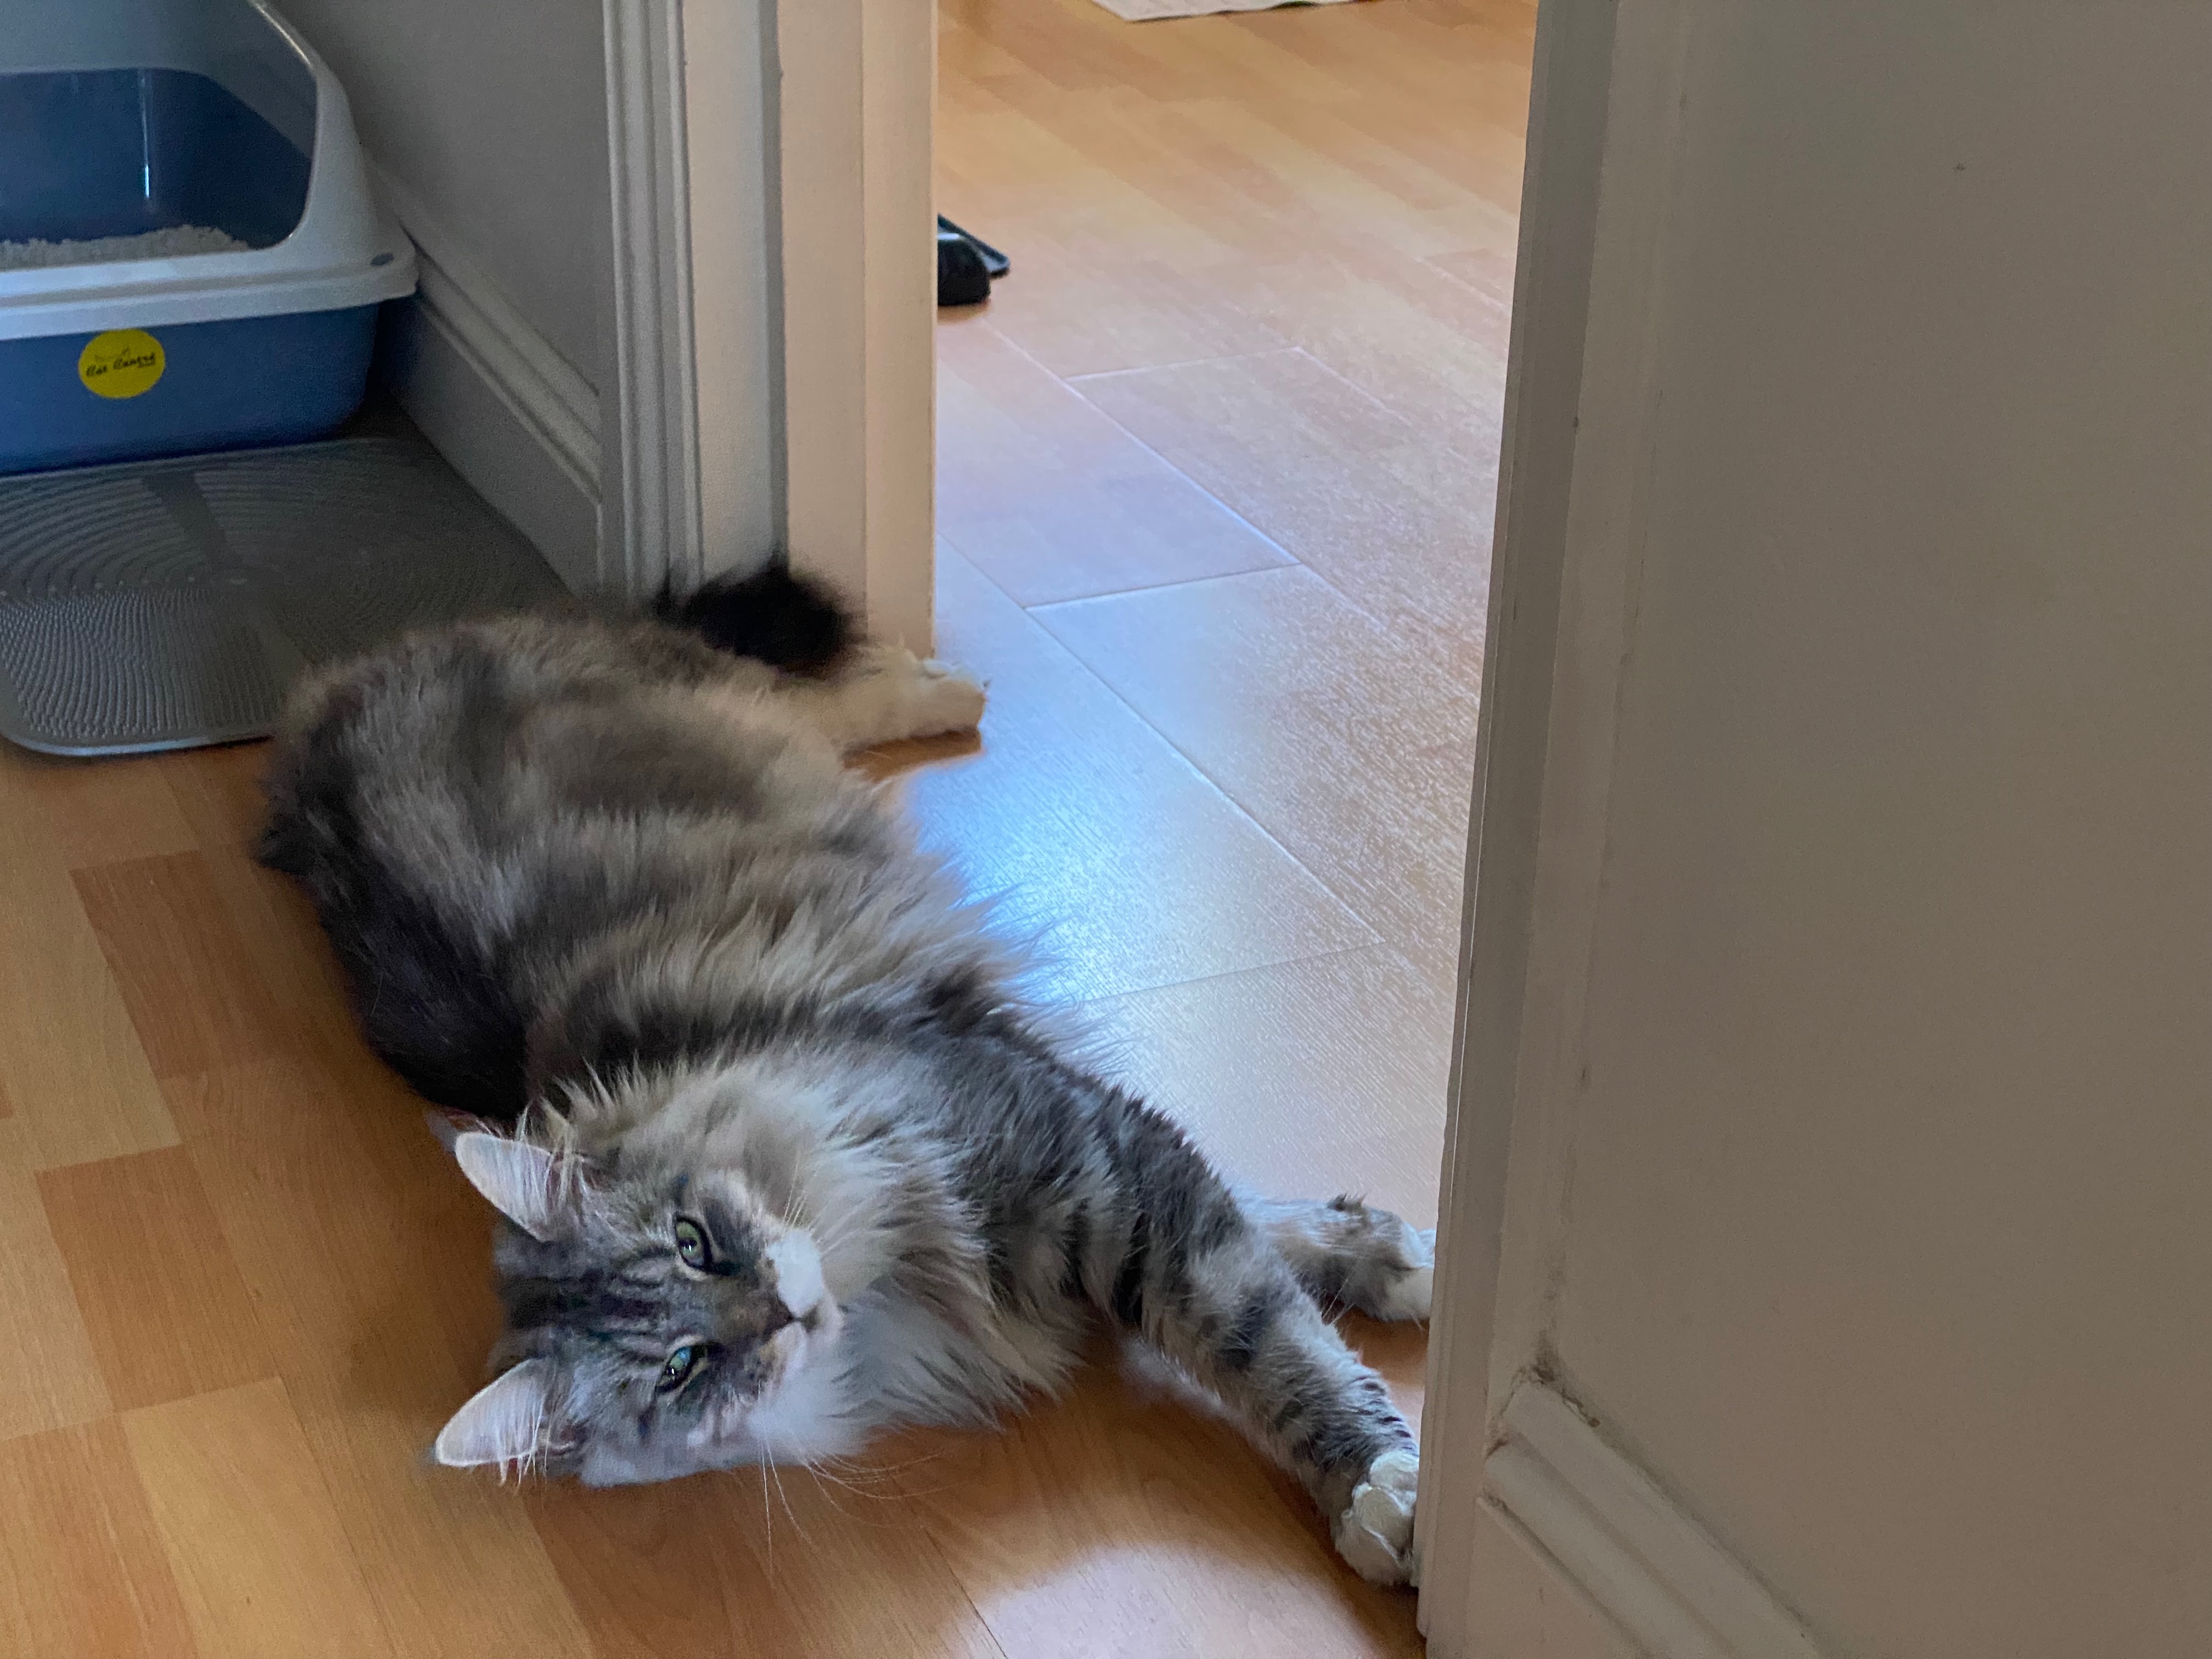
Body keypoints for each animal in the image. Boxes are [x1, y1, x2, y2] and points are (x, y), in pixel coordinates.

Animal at [258, 571, 1433, 1583]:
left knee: (816, 690)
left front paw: (1386, 1481)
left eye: (693, 1238)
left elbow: (1269, 1330)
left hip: (723, 699)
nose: (781, 1310)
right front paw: (1388, 1274)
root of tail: (316, 707)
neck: (890, 1266)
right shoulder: (1094, 1170)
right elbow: (1259, 1267)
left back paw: (945, 683)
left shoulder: (1087, 1148)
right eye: (682, 1367)